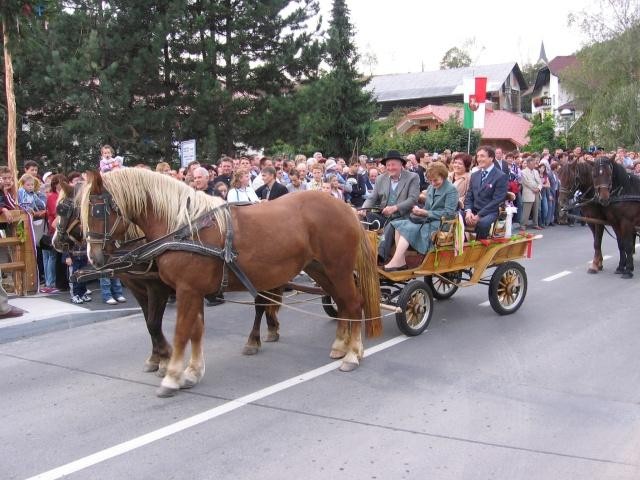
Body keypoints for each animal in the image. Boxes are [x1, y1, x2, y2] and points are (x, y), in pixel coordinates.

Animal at [79, 170, 380, 398]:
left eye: (98, 209)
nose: (93, 257)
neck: (184, 229)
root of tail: (346, 208)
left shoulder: (185, 290)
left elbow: (180, 332)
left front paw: (172, 375)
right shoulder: (193, 291)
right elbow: (195, 330)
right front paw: (192, 372)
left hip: (338, 269)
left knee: (353, 304)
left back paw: (353, 354)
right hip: (319, 269)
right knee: (341, 303)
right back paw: (340, 345)